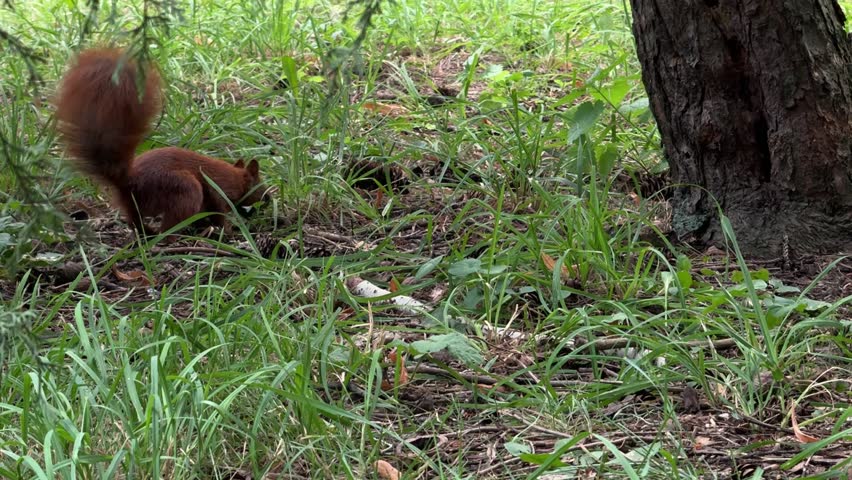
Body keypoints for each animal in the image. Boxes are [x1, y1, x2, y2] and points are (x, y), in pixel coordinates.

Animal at [54, 47, 266, 238]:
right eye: (260, 186)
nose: (268, 200)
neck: (235, 177)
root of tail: (129, 182)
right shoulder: (218, 191)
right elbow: (219, 213)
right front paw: (228, 231)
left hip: (137, 204)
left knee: (134, 221)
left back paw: (149, 233)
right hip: (183, 189)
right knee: (169, 225)